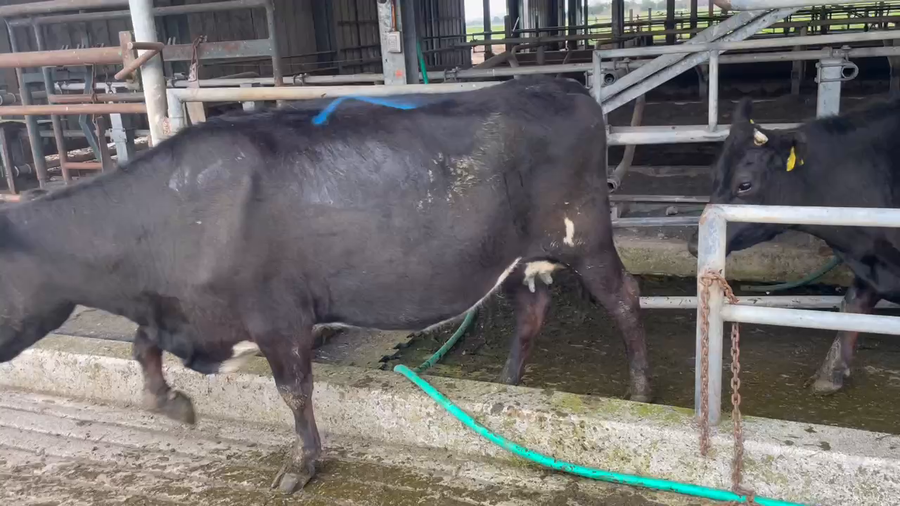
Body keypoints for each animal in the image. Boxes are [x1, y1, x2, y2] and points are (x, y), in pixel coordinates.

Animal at [0, 76, 651, 493]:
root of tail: (566, 87)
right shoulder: (185, 312)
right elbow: (141, 348)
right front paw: (175, 405)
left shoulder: (277, 313)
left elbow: (294, 391)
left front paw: (301, 465)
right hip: (512, 257)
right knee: (531, 309)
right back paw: (509, 381)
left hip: (584, 236)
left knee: (624, 297)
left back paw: (641, 388)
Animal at [690, 97, 900, 395]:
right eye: (713, 176)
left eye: (745, 184)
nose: (694, 244)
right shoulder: (873, 260)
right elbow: (853, 305)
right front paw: (829, 374)